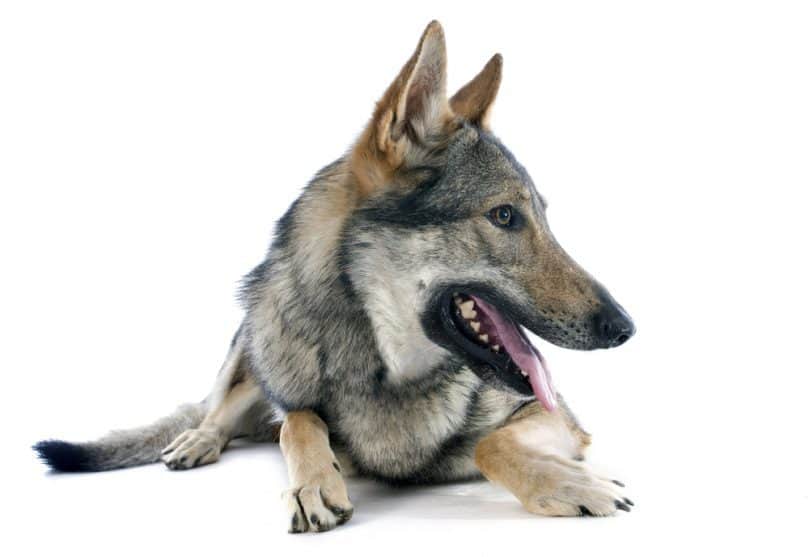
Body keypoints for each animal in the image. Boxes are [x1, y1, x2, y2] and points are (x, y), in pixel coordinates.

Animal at [34, 21, 636, 532]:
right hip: (257, 340)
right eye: (505, 216)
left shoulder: (556, 417)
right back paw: (197, 439)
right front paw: (313, 484)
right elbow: (300, 422)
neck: (389, 375)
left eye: (542, 217)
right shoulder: (295, 399)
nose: (625, 327)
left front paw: (572, 483)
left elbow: (490, 445)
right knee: (220, 408)